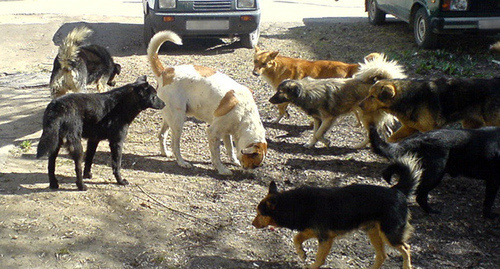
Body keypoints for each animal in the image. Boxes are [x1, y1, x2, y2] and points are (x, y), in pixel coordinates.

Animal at [38, 75, 166, 191]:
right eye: (154, 96)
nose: (164, 104)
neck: (122, 104)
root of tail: (57, 106)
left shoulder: (93, 140)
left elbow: (89, 159)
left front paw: (87, 175)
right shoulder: (117, 142)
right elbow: (116, 165)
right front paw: (120, 181)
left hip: (55, 144)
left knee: (51, 164)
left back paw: (53, 183)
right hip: (76, 146)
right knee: (77, 167)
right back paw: (81, 186)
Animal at [146, 30, 268, 175]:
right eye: (254, 164)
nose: (250, 176)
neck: (245, 114)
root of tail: (165, 71)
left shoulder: (226, 132)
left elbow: (230, 149)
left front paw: (234, 161)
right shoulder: (213, 133)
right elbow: (216, 155)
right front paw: (222, 169)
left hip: (170, 117)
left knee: (161, 135)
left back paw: (165, 153)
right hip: (178, 121)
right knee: (175, 145)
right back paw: (182, 162)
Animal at [360, 76, 500, 141]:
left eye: (372, 96)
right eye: (368, 94)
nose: (360, 105)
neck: (407, 97)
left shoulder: (430, 129)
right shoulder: (409, 127)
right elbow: (391, 139)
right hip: (471, 124)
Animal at [368, 124, 500, 218]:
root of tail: (421, 138)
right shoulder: (493, 181)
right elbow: (489, 201)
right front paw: (489, 216)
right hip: (435, 175)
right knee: (419, 195)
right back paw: (431, 211)